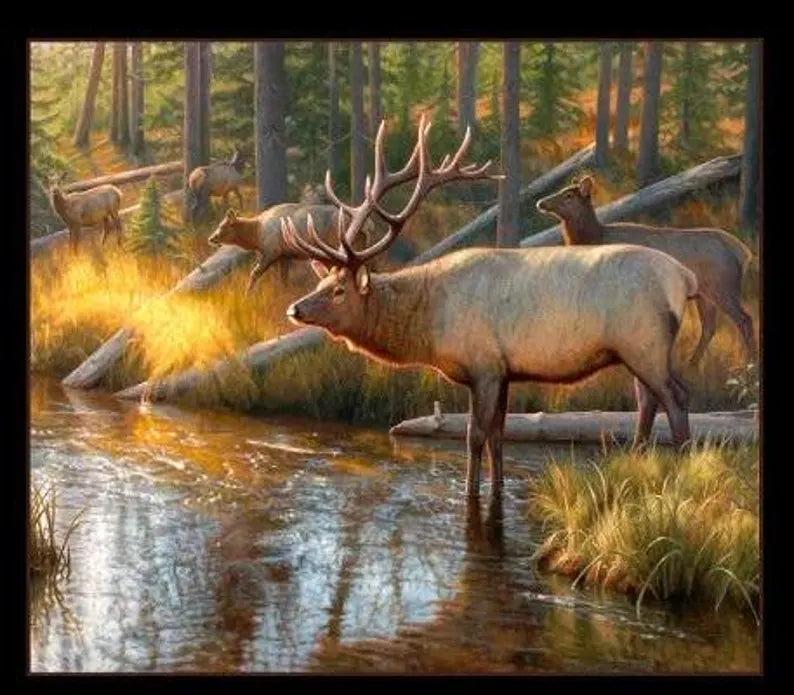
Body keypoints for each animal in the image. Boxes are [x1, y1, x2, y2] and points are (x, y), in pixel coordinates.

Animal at [207, 204, 377, 294]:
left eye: (222, 226)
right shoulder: (284, 255)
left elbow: (255, 273)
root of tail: (368, 226)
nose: (211, 238)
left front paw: (247, 294)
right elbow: (283, 277)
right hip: (362, 247)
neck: (257, 235)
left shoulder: (271, 251)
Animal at [279, 115, 698, 522]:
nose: (294, 309)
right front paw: (497, 491)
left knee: (675, 398)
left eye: (338, 290)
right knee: (651, 402)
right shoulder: (504, 371)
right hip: (643, 351)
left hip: (643, 343)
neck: (430, 323)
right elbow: (499, 436)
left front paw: (469, 496)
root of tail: (684, 278)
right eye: (322, 280)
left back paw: (682, 473)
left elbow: (475, 436)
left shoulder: (483, 367)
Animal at [535, 176, 756, 367]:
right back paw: (692, 364)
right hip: (704, 294)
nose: (540, 202)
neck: (595, 238)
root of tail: (742, 252)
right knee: (709, 327)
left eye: (568, 195)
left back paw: (748, 363)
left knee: (744, 319)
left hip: (723, 287)